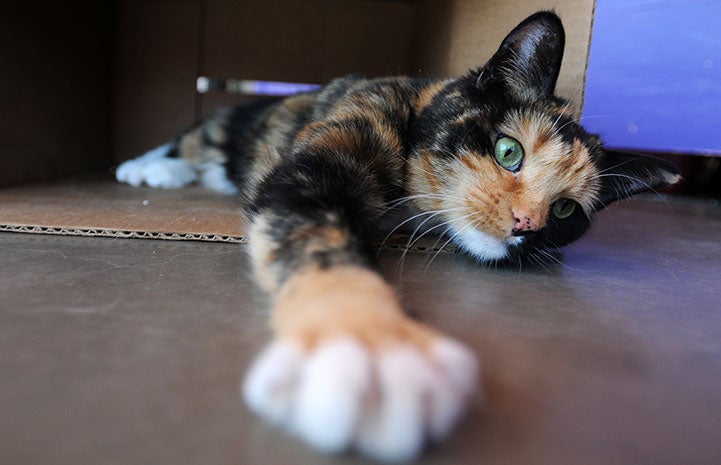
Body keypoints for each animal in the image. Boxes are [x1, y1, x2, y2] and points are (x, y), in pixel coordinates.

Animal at [115, 12, 676, 462]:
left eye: (564, 210)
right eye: (508, 150)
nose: (525, 225)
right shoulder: (339, 142)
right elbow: (315, 226)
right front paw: (368, 345)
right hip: (225, 126)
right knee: (191, 139)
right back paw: (145, 167)